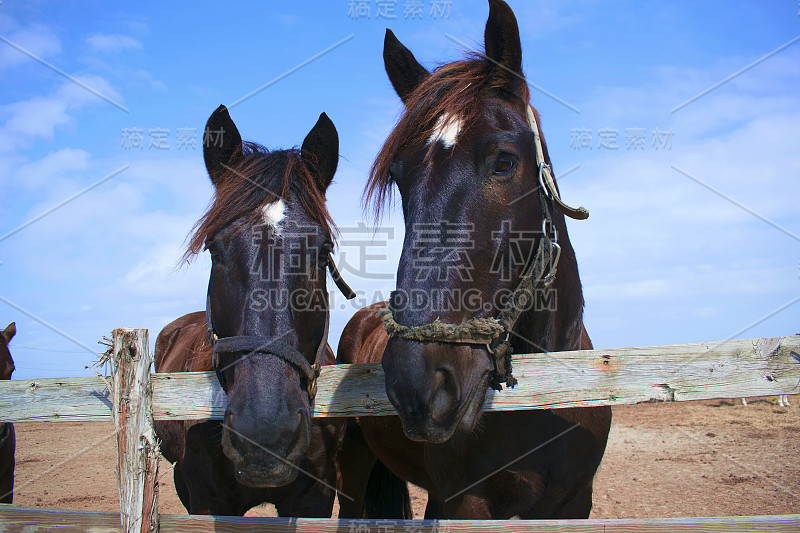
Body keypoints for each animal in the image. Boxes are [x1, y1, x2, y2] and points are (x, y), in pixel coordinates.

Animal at [340, 0, 612, 516]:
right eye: (400, 178)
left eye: (504, 161)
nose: (417, 383)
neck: (544, 400)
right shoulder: (461, 502)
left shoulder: (575, 503)